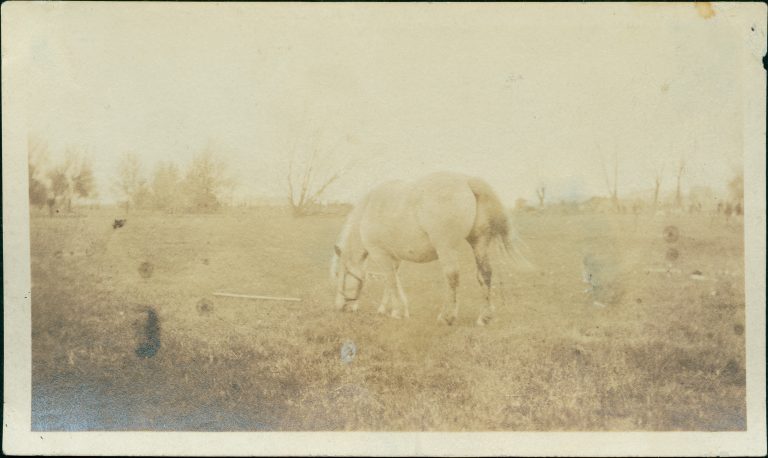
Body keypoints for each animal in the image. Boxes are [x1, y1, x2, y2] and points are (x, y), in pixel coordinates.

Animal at [330, 171, 530, 326]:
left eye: (340, 275)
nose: (340, 307)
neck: (368, 210)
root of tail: (466, 181)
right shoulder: (394, 259)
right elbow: (391, 282)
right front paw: (388, 309)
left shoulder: (381, 255)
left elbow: (392, 282)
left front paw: (399, 312)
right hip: (479, 243)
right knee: (485, 274)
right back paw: (484, 317)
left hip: (446, 247)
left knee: (452, 277)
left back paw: (447, 316)